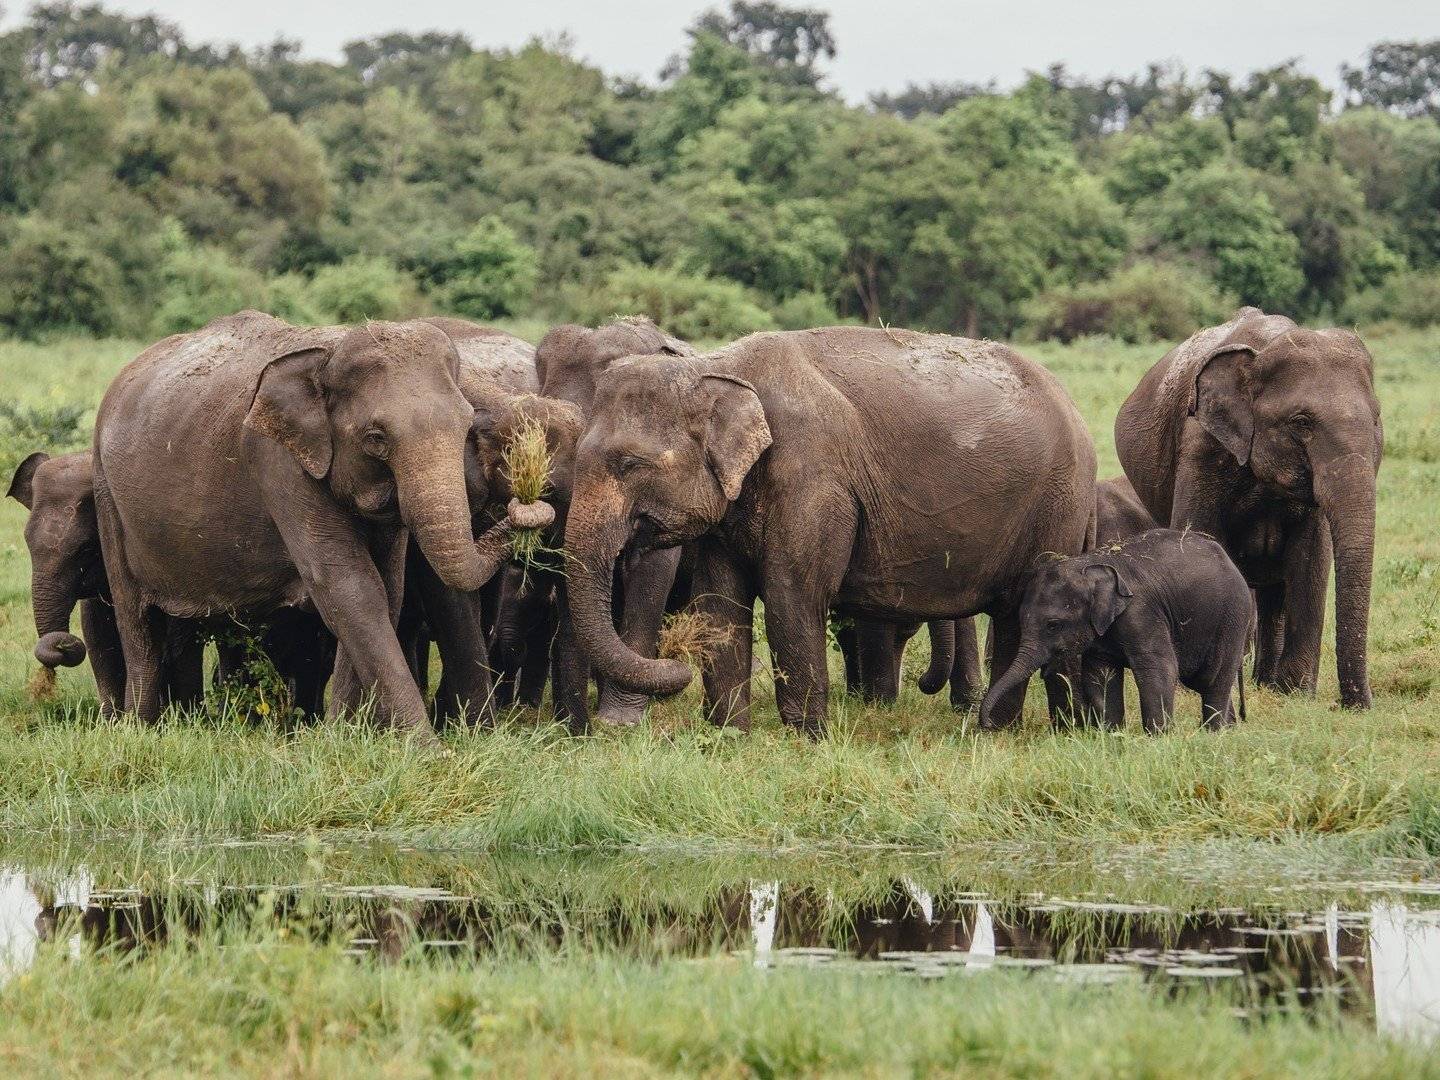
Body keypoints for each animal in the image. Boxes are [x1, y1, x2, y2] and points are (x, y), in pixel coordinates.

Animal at [91, 308, 550, 743]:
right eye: (376, 438)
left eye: (466, 424)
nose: (528, 506)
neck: (329, 350)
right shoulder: (277, 459)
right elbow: (348, 585)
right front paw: (426, 750)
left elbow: (384, 589)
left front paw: (341, 736)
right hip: (107, 496)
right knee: (136, 621)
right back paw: (140, 728)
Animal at [552, 328, 1088, 737]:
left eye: (629, 464)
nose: (676, 665)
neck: (716, 366)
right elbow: (719, 600)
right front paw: (728, 736)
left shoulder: (814, 477)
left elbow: (792, 593)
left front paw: (806, 739)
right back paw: (997, 729)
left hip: (1058, 506)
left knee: (1025, 610)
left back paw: (998, 730)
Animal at [984, 529, 1255, 737]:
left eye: (1053, 625)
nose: (986, 724)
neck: (1088, 565)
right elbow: (1101, 675)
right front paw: (1112, 735)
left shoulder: (1141, 611)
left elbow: (1159, 667)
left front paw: (1159, 738)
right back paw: (1229, 730)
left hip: (1232, 617)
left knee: (1214, 678)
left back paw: (1214, 733)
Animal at [1111, 306, 1382, 711]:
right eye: (1301, 422)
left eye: (1377, 420)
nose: (1352, 705)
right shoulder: (1200, 445)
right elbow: (1199, 536)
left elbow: (1311, 560)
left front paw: (1296, 692)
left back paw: (1267, 683)